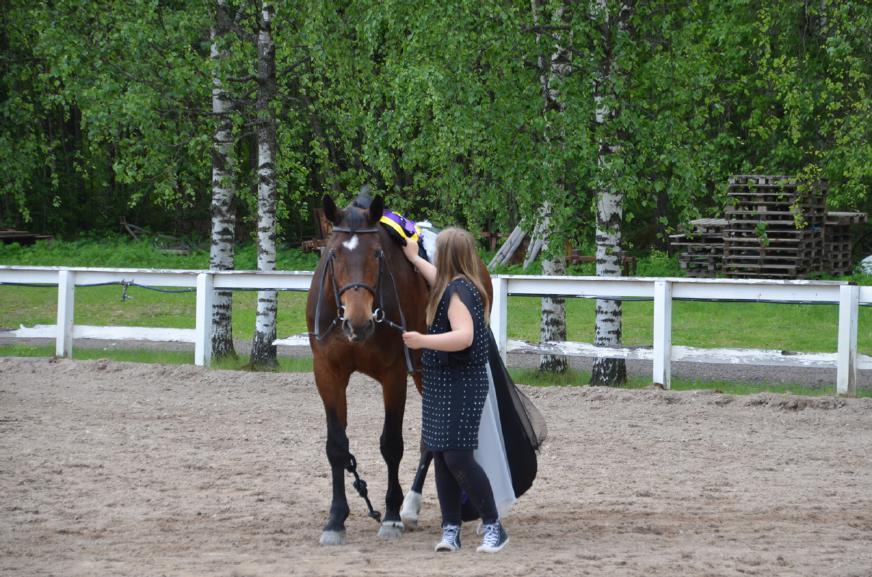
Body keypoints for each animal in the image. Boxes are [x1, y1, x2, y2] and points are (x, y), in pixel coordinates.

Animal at [306, 195, 430, 544]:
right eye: (333, 254)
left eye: (377, 253)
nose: (358, 321)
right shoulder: (327, 373)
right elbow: (337, 446)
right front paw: (336, 519)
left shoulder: (395, 375)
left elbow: (391, 445)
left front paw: (391, 515)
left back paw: (410, 506)